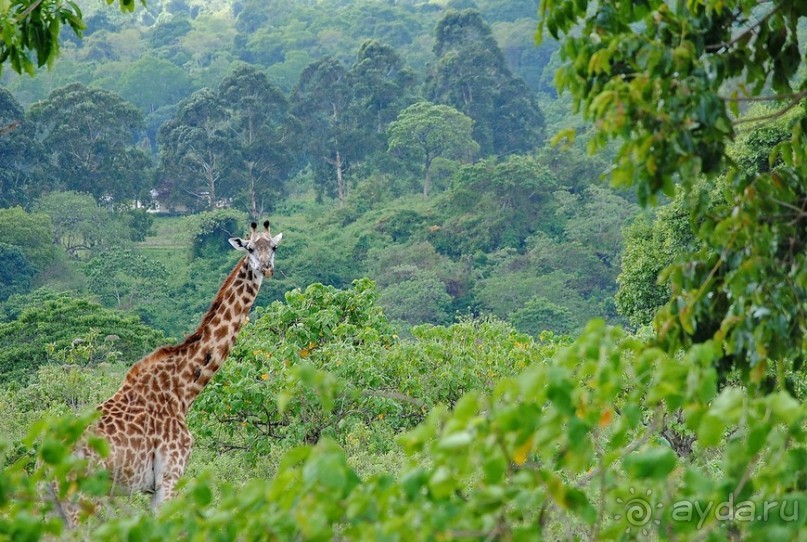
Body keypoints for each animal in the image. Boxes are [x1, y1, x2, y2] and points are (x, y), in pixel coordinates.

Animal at [70, 221, 284, 524]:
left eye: (274, 247)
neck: (182, 389)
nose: (266, 268)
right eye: (251, 248)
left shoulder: (154, 485)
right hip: (86, 490)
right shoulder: (170, 475)